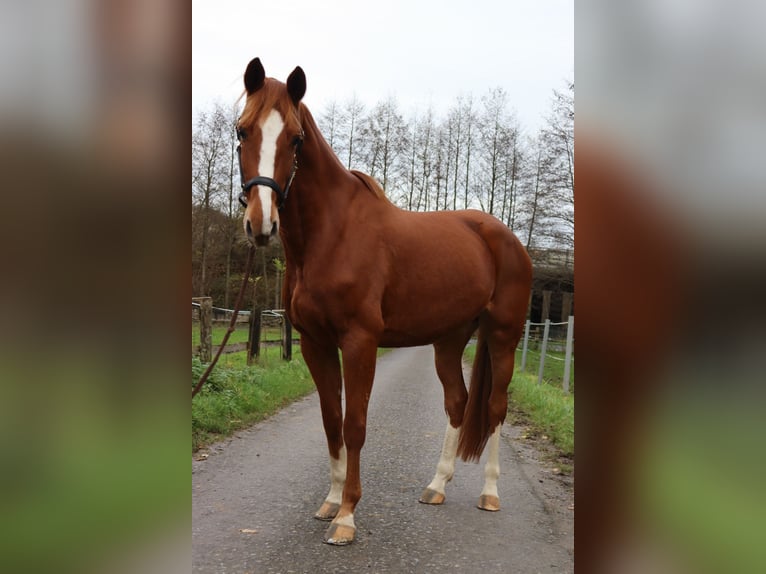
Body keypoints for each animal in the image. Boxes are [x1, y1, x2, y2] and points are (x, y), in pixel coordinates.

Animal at [237, 59, 532, 548]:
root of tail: (503, 237)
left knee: (494, 407)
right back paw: (436, 485)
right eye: (243, 130)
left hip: (503, 336)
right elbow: (330, 420)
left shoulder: (360, 342)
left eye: (295, 138)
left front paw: (347, 516)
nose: (261, 224)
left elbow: (354, 424)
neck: (331, 234)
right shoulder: (315, 343)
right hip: (449, 340)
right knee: (457, 402)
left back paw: (489, 494)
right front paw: (331, 501)